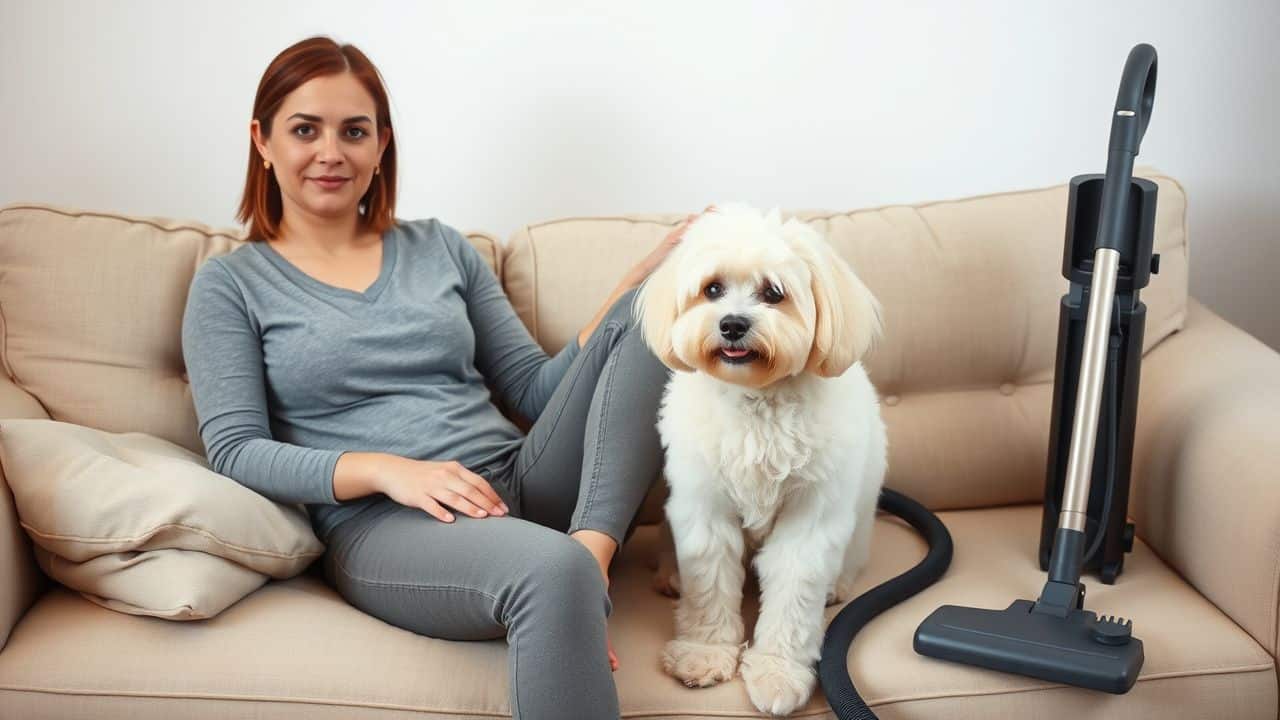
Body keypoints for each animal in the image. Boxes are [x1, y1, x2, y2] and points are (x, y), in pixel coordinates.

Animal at [632, 204, 890, 712]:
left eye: (774, 293)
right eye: (712, 289)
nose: (732, 324)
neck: (755, 401)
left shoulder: (809, 520)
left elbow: (793, 595)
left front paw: (778, 673)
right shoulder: (704, 508)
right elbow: (710, 582)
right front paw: (704, 653)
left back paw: (837, 586)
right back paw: (671, 575)